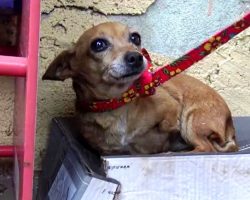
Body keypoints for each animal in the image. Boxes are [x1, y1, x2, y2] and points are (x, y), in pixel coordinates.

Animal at [43, 21, 238, 155]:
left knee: (206, 147)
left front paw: (169, 131)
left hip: (192, 121)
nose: (136, 57)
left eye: (135, 38)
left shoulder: (171, 103)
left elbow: (168, 122)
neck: (117, 103)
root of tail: (230, 124)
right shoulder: (110, 151)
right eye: (98, 44)